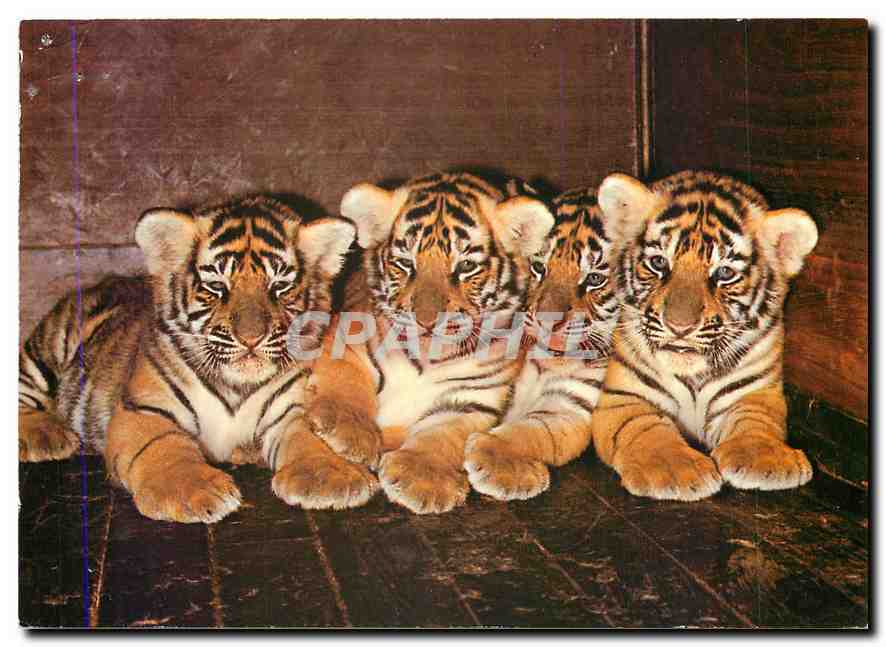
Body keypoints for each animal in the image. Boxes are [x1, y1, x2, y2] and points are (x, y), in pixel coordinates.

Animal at [18, 195, 356, 523]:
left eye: (280, 287)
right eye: (217, 287)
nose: (251, 339)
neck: (237, 386)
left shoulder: (289, 410)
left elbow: (308, 438)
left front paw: (328, 478)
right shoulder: (144, 410)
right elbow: (164, 446)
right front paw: (193, 490)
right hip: (51, 345)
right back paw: (46, 436)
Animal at [280, 171, 555, 514]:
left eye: (466, 266)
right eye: (405, 263)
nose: (425, 321)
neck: (429, 360)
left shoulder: (475, 397)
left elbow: (444, 433)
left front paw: (422, 478)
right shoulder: (345, 339)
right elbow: (346, 383)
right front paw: (350, 432)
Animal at [463, 185, 624, 501]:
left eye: (595, 279)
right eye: (539, 267)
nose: (548, 322)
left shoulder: (569, 405)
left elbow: (532, 430)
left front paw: (494, 460)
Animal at [590, 170, 818, 501]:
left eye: (724, 273)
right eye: (658, 263)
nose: (679, 326)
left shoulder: (758, 392)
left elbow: (756, 419)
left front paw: (765, 458)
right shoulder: (623, 398)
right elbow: (646, 427)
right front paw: (674, 469)